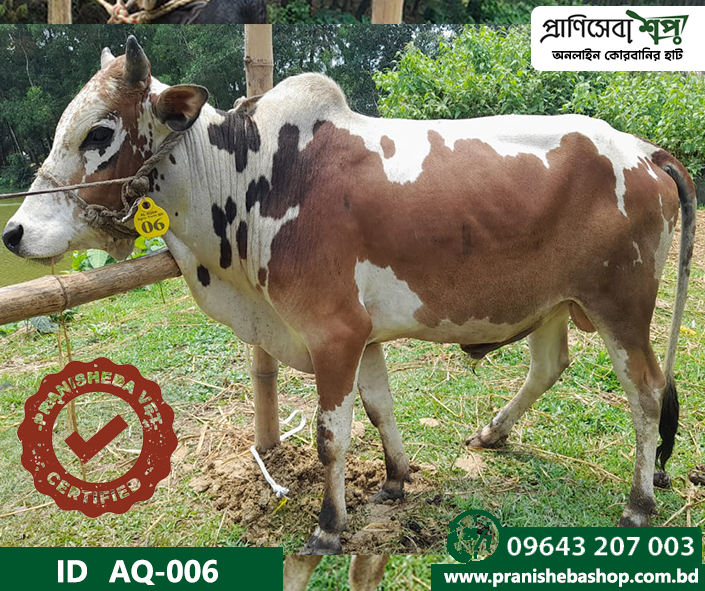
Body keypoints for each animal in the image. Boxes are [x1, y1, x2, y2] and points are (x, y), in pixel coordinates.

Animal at [2, 37, 696, 554]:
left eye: (99, 133)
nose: (15, 232)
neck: (255, 177)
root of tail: (646, 149)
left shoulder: (333, 336)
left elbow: (331, 434)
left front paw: (330, 527)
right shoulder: (365, 337)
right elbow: (380, 408)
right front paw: (395, 481)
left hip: (621, 309)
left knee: (646, 393)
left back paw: (639, 502)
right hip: (552, 303)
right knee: (551, 365)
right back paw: (493, 433)